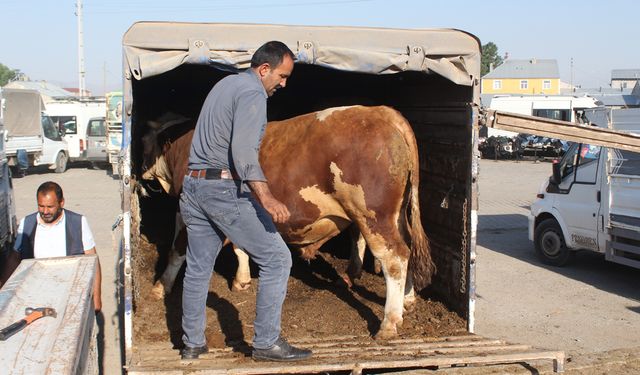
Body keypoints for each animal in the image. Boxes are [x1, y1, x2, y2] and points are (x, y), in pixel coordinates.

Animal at [141, 106, 436, 340]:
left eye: (144, 140)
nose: (139, 170)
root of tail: (381, 111)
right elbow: (239, 247)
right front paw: (241, 280)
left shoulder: (188, 210)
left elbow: (177, 250)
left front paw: (160, 287)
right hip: (396, 215)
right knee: (408, 248)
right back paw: (408, 300)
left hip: (373, 216)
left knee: (394, 258)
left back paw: (389, 323)